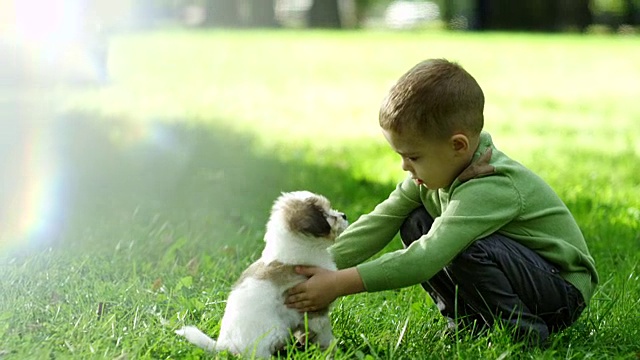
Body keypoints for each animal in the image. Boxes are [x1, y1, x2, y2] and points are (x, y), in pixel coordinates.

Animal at [175, 191, 348, 358]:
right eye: (327, 215)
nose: (344, 215)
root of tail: (224, 345)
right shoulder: (315, 311)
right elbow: (325, 334)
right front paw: (332, 352)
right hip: (275, 331)